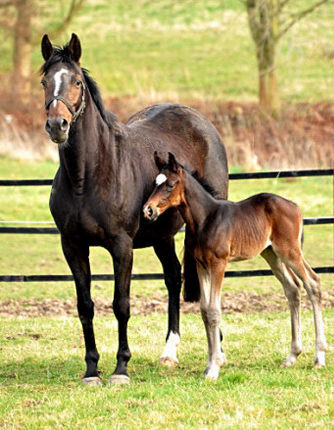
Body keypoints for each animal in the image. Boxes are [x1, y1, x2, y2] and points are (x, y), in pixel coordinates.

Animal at [143, 153, 326, 382]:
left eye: (170, 184)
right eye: (154, 183)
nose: (148, 210)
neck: (205, 219)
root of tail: (295, 206)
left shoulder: (218, 264)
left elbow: (214, 311)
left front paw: (214, 368)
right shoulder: (202, 265)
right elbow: (205, 310)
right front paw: (209, 366)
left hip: (289, 251)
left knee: (312, 282)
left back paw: (319, 358)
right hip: (272, 254)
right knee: (293, 288)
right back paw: (291, 356)